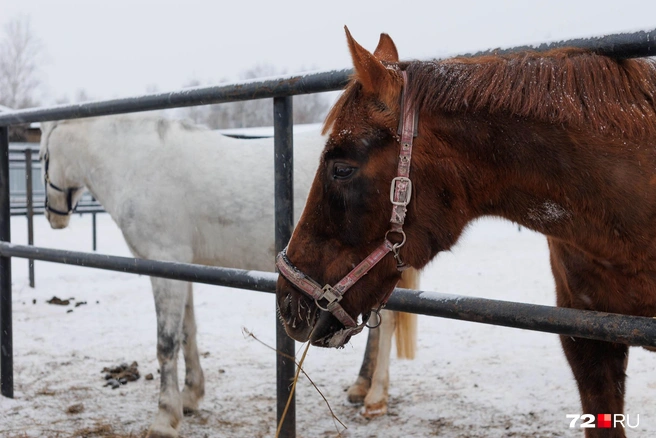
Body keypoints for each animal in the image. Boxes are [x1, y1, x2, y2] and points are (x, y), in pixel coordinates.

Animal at [41, 114, 418, 436]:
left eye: (42, 156)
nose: (52, 216)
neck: (139, 162)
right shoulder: (182, 266)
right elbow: (187, 333)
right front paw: (190, 396)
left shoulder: (164, 265)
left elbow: (166, 343)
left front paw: (165, 418)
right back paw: (361, 387)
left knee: (387, 324)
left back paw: (375, 398)